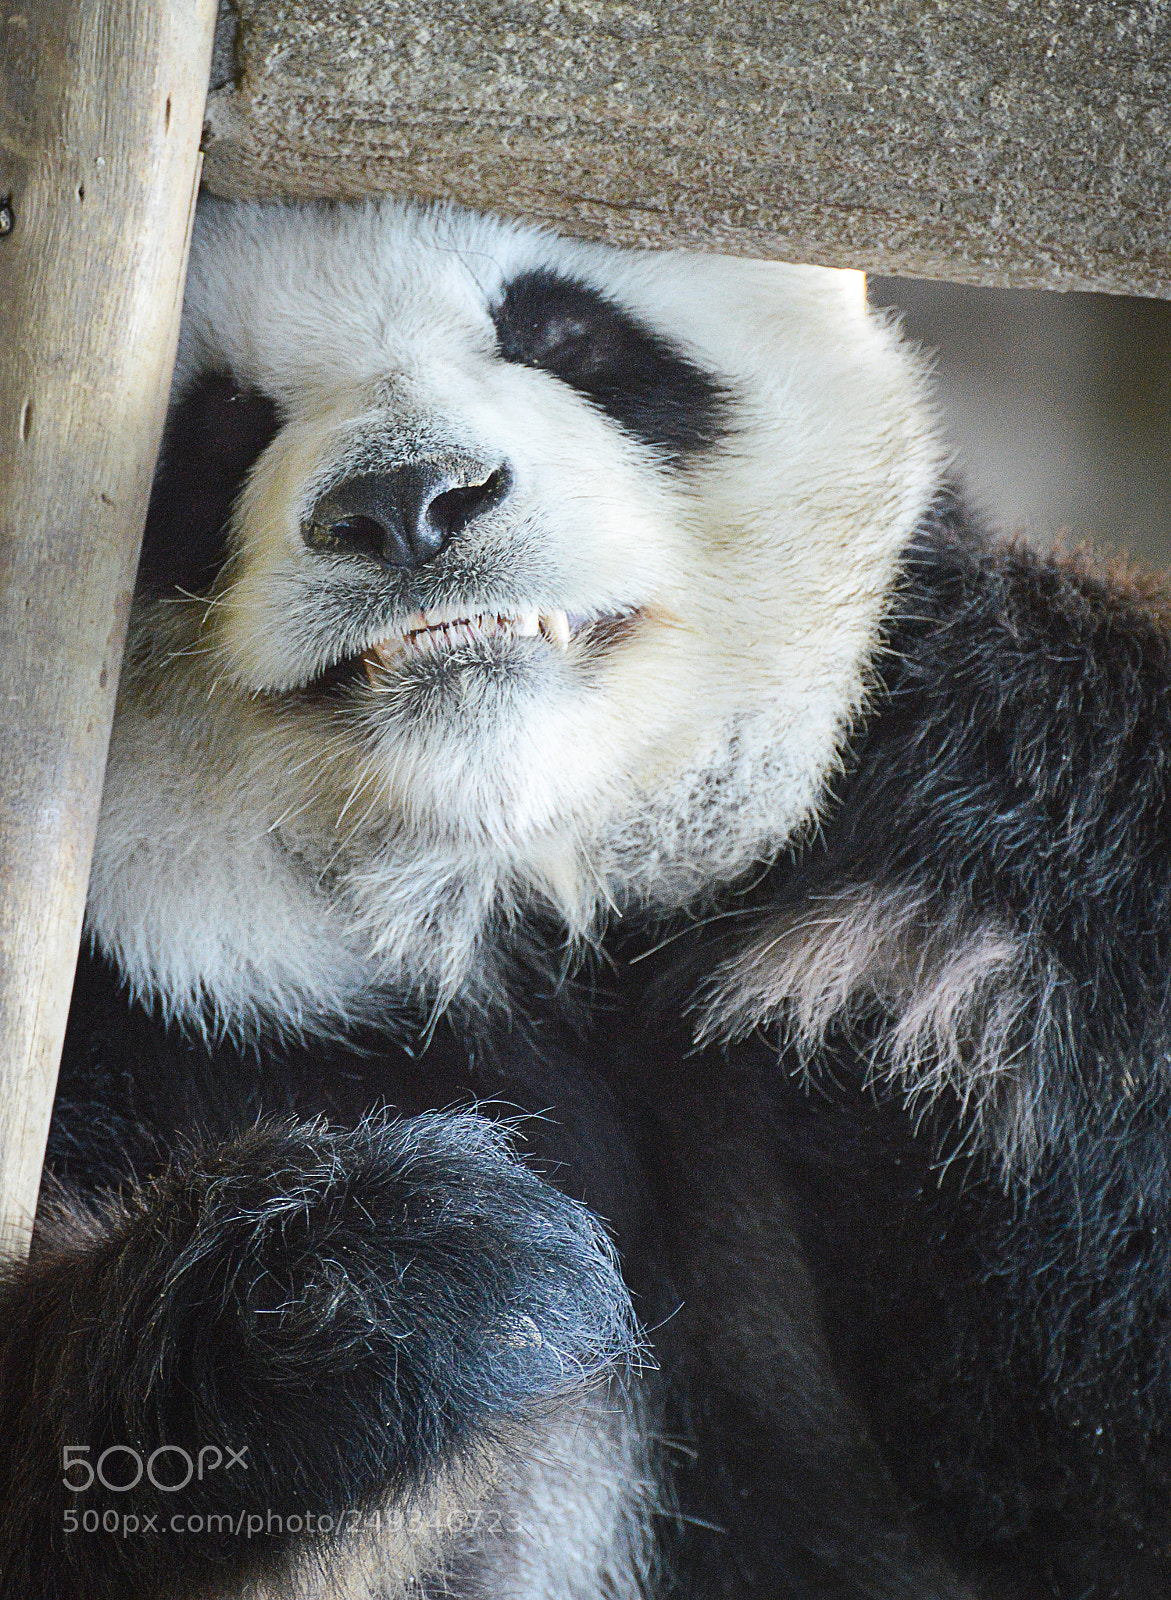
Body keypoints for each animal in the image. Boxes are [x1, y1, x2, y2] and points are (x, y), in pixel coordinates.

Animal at [2, 196, 1170, 1600]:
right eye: (221, 418)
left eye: (561, 331)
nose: (406, 502)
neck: (498, 895)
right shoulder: (149, 1041)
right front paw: (389, 1284)